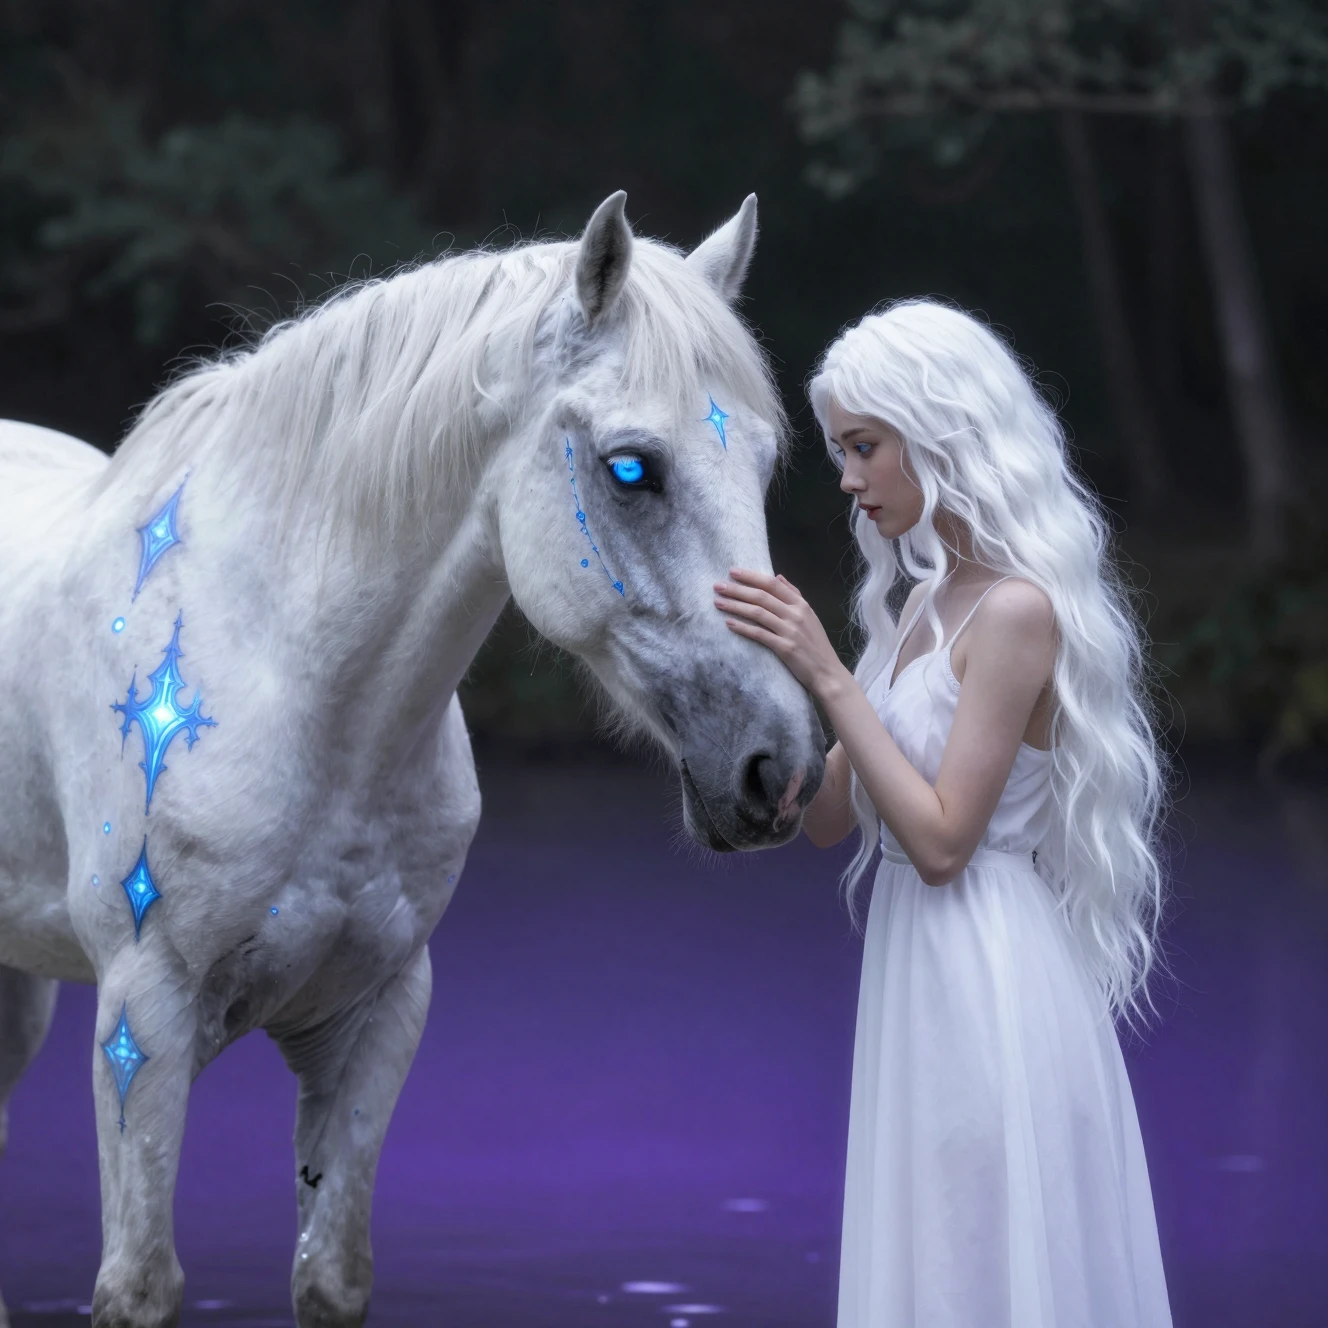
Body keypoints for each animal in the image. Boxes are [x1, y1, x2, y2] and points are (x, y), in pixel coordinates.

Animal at [0, 191, 825, 1328]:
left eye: (761, 460)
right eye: (630, 467)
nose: (777, 768)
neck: (294, 687)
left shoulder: (376, 1014)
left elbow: (331, 1270)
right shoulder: (144, 1014)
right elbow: (140, 1284)